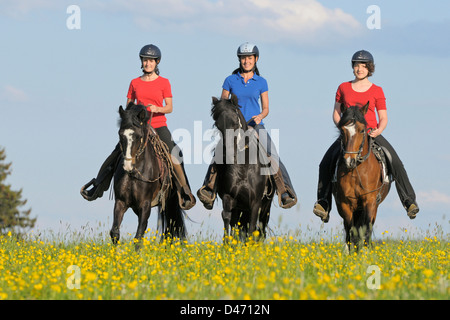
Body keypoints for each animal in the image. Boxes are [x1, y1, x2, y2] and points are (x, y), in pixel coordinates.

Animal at [110, 102, 186, 245]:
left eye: (138, 136)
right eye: (120, 134)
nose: (128, 166)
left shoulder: (145, 205)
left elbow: (139, 236)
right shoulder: (121, 202)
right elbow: (115, 233)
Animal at [211, 94, 274, 240]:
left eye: (235, 123)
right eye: (217, 125)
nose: (228, 153)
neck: (243, 168)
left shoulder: (255, 203)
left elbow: (252, 227)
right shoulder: (229, 198)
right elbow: (228, 221)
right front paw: (227, 243)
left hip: (265, 208)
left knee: (261, 229)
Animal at [332, 104, 392, 251]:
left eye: (362, 130)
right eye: (342, 131)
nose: (349, 160)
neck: (356, 171)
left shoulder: (369, 201)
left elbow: (366, 229)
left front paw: (364, 251)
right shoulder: (345, 203)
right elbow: (351, 230)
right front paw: (352, 252)